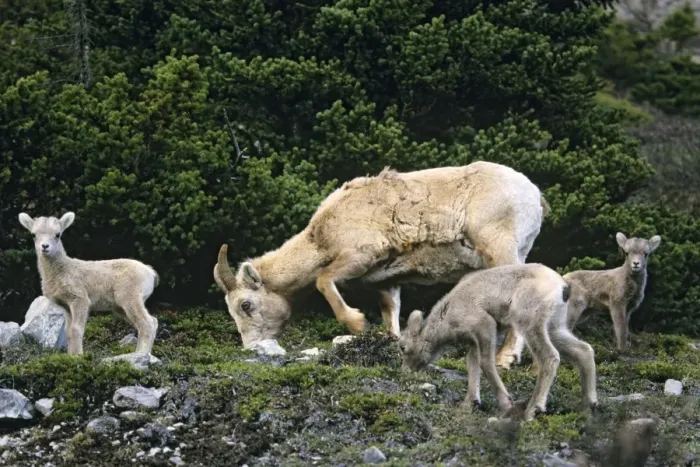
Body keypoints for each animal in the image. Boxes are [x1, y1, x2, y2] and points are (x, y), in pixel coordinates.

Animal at [18, 211, 159, 356]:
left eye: (58, 234)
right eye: (33, 234)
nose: (45, 246)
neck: (63, 271)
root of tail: (151, 274)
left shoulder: (80, 299)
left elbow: (76, 329)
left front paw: (79, 356)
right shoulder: (66, 306)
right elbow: (68, 332)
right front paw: (71, 356)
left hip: (130, 297)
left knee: (147, 323)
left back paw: (141, 354)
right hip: (121, 307)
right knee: (153, 321)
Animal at [214, 160, 550, 349]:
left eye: (245, 305)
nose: (251, 347)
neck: (320, 237)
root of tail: (534, 194)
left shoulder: (359, 257)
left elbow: (324, 280)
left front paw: (356, 324)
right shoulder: (386, 281)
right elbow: (391, 316)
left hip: (500, 250)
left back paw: (507, 359)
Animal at [397, 263, 598, 422]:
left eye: (403, 347)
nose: (405, 372)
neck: (447, 319)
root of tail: (562, 287)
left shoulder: (485, 325)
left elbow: (486, 364)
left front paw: (506, 404)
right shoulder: (474, 342)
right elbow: (472, 364)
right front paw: (470, 404)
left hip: (530, 323)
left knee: (550, 357)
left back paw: (532, 411)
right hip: (555, 327)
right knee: (584, 350)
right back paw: (590, 405)